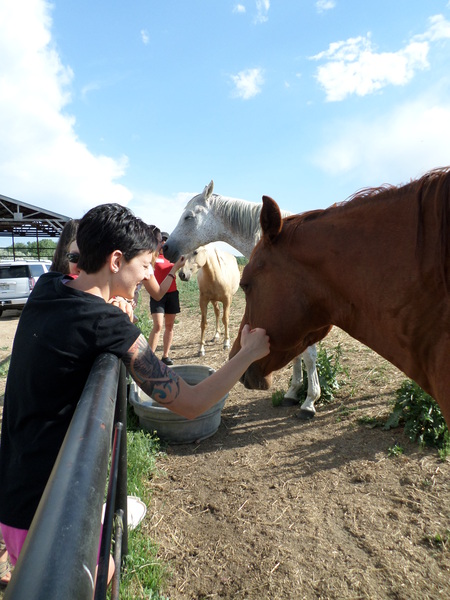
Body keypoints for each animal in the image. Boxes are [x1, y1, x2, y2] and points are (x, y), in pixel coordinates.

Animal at [163, 182, 322, 418]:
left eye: (188, 216)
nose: (166, 248)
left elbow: (309, 356)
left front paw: (309, 402)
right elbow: (297, 354)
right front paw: (293, 393)